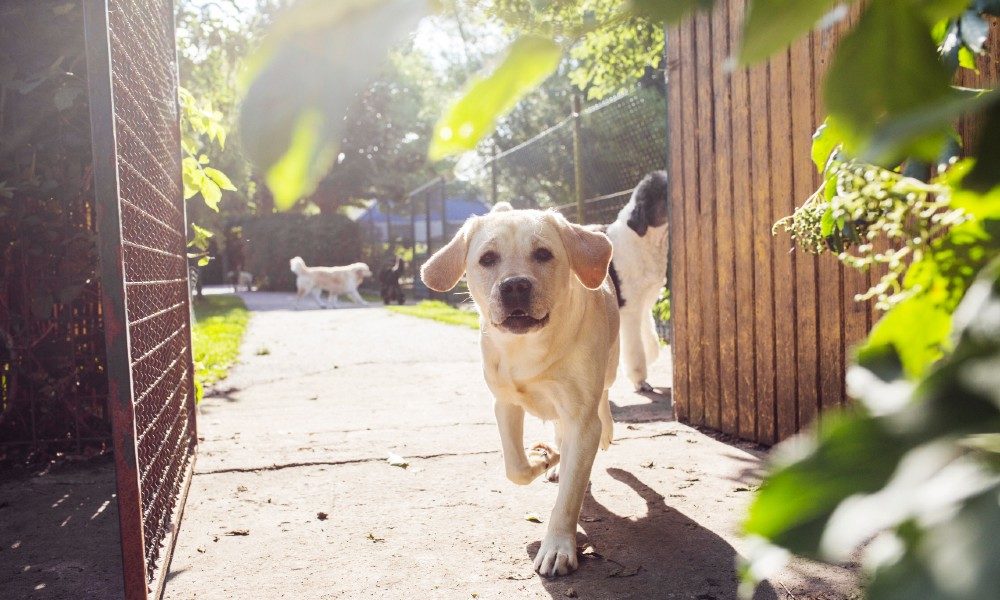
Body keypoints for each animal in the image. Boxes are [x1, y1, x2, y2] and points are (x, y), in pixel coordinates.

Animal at [421, 202, 618, 577]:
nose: (514, 286)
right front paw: (543, 459)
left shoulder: (581, 420)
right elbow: (516, 469)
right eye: (487, 258)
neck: (527, 347)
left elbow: (569, 498)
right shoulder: (505, 404)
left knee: (603, 400)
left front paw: (557, 546)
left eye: (543, 253)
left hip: (609, 371)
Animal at [604, 171, 669, 392]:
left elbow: (651, 341)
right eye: (663, 192)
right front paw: (640, 380)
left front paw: (650, 357)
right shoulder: (629, 310)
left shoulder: (645, 303)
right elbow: (635, 350)